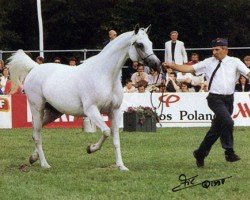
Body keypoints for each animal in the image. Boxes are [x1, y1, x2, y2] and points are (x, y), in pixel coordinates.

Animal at [8, 24, 160, 170]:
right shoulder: (91, 110)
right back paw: (45, 164)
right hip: (37, 108)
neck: (104, 75)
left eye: (150, 43)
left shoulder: (114, 111)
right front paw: (90, 148)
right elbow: (106, 132)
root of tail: (34, 68)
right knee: (37, 134)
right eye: (140, 44)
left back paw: (33, 158)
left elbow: (115, 138)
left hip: (54, 112)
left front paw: (121, 166)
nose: (157, 65)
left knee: (36, 131)